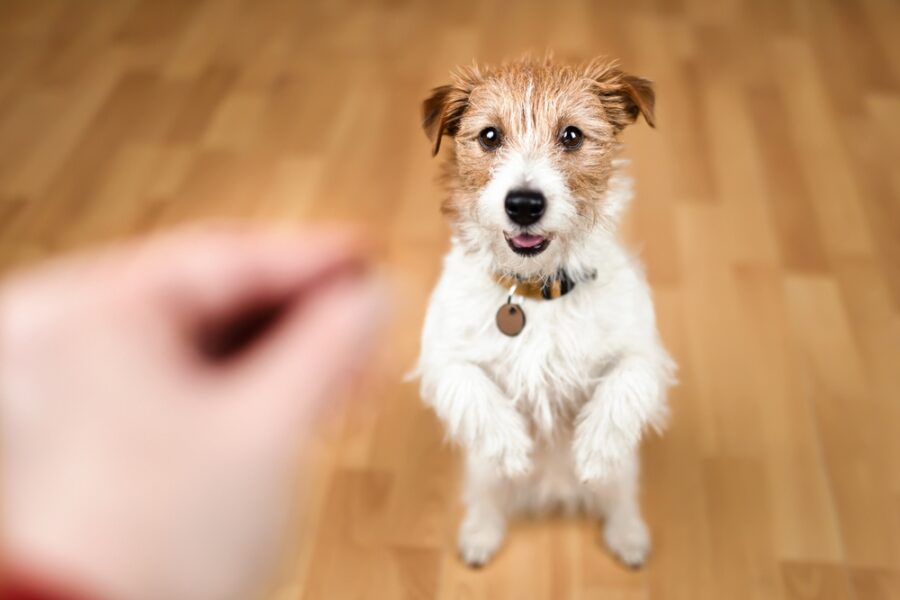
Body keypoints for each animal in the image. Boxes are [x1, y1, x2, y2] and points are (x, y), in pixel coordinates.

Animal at [414, 57, 676, 568]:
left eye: (571, 135)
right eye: (489, 136)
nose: (523, 204)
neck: (535, 290)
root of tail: (553, 492)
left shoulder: (644, 351)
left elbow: (624, 384)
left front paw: (594, 450)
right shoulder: (442, 356)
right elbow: (471, 387)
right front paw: (512, 446)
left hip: (624, 475)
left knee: (620, 496)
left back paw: (628, 535)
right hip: (481, 476)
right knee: (486, 497)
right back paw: (481, 534)